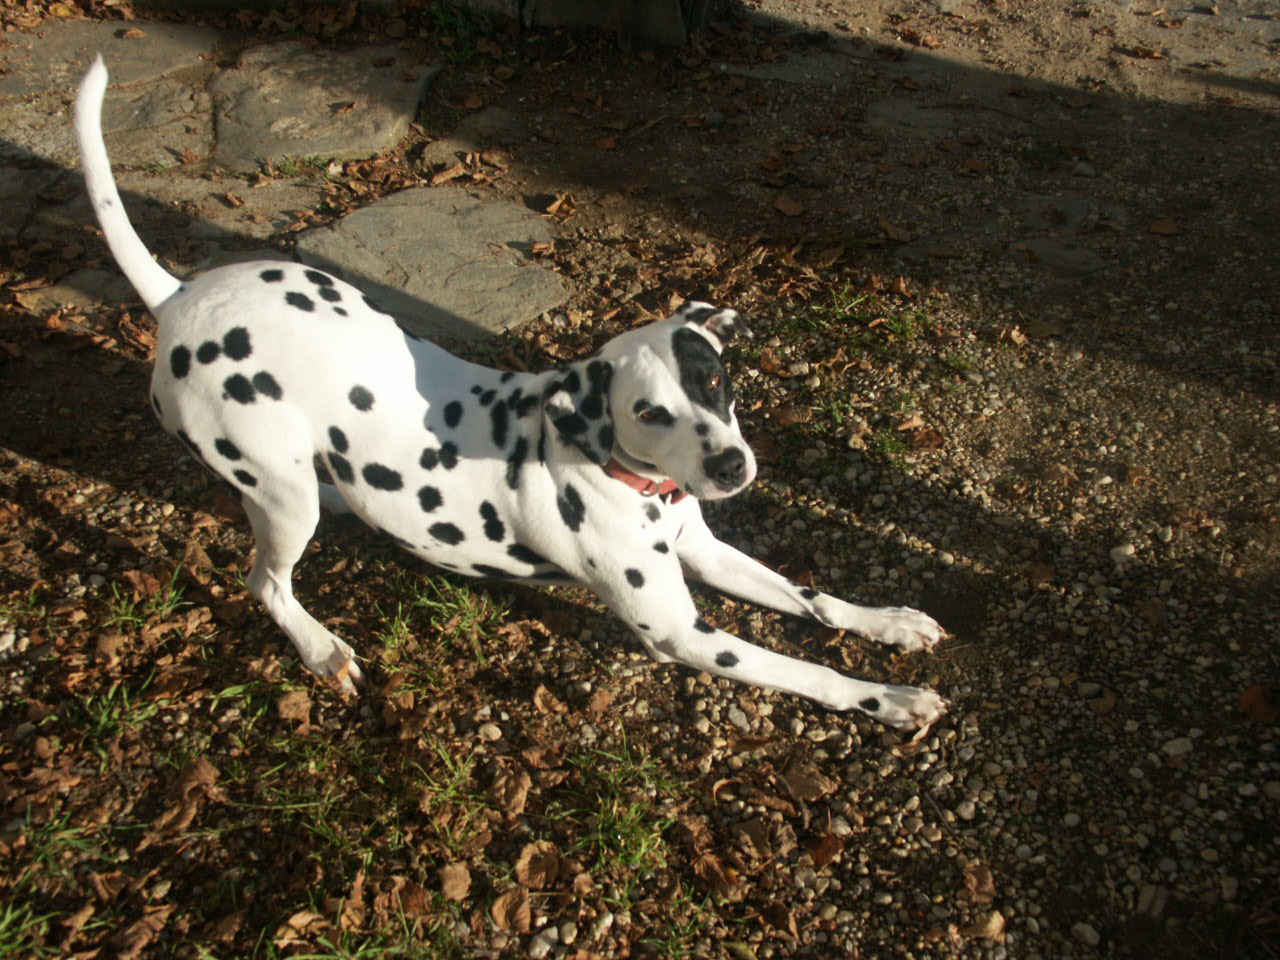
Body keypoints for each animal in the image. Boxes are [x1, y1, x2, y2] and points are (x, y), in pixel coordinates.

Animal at [74, 56, 947, 732]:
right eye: (650, 413)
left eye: (713, 379)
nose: (732, 467)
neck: (624, 477)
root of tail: (179, 297)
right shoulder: (687, 635)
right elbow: (809, 671)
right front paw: (890, 698)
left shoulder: (706, 549)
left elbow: (812, 598)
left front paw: (889, 622)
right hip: (280, 495)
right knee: (266, 581)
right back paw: (320, 648)